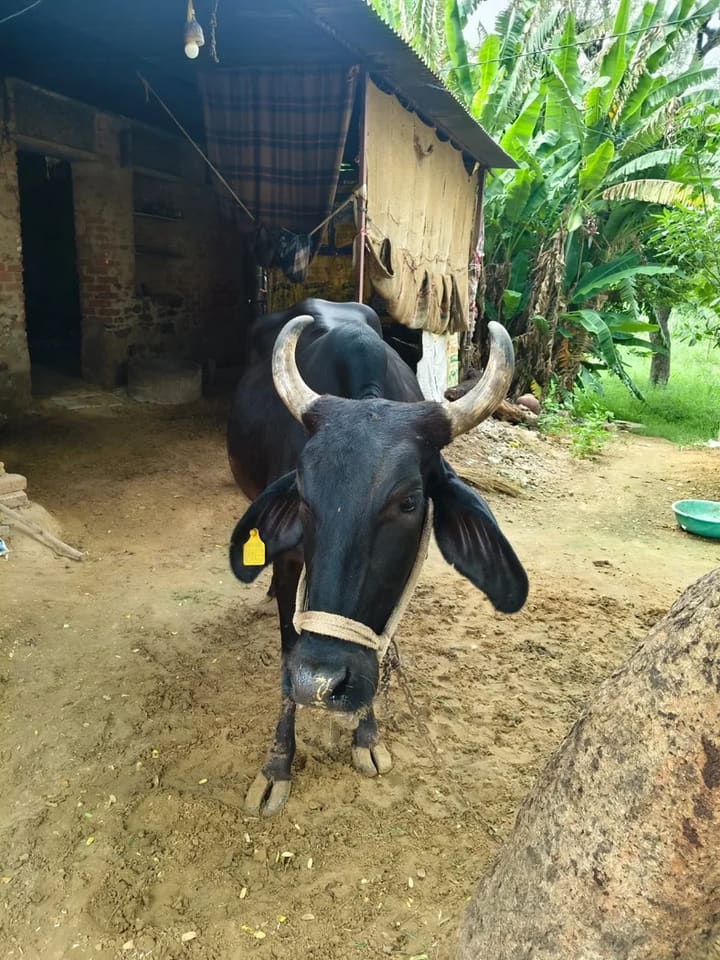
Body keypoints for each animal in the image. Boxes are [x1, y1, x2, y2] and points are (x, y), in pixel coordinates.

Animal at [228, 299, 528, 816]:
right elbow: (288, 652)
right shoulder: (290, 566)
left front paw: (366, 735)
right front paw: (277, 765)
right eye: (303, 494)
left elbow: (377, 641)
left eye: (408, 502)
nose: (320, 683)